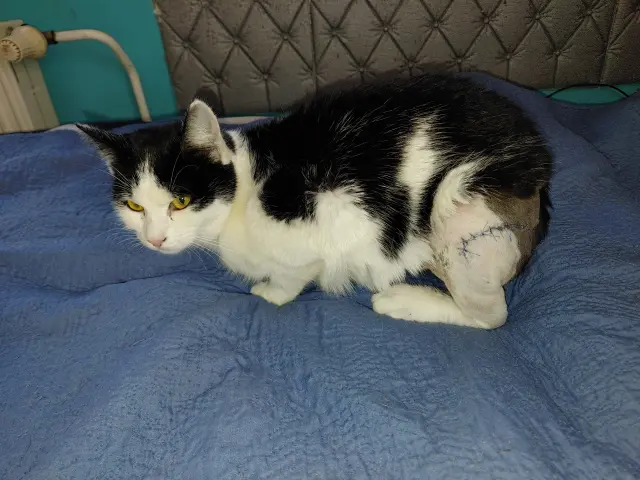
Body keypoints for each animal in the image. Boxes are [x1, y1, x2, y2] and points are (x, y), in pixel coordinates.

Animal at [78, 74, 552, 329]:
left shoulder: (323, 229)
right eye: (134, 207)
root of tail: (538, 157)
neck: (244, 189)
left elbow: (291, 280)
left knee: (492, 316)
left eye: (180, 200)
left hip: (461, 206)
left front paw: (269, 294)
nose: (154, 239)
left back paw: (404, 300)